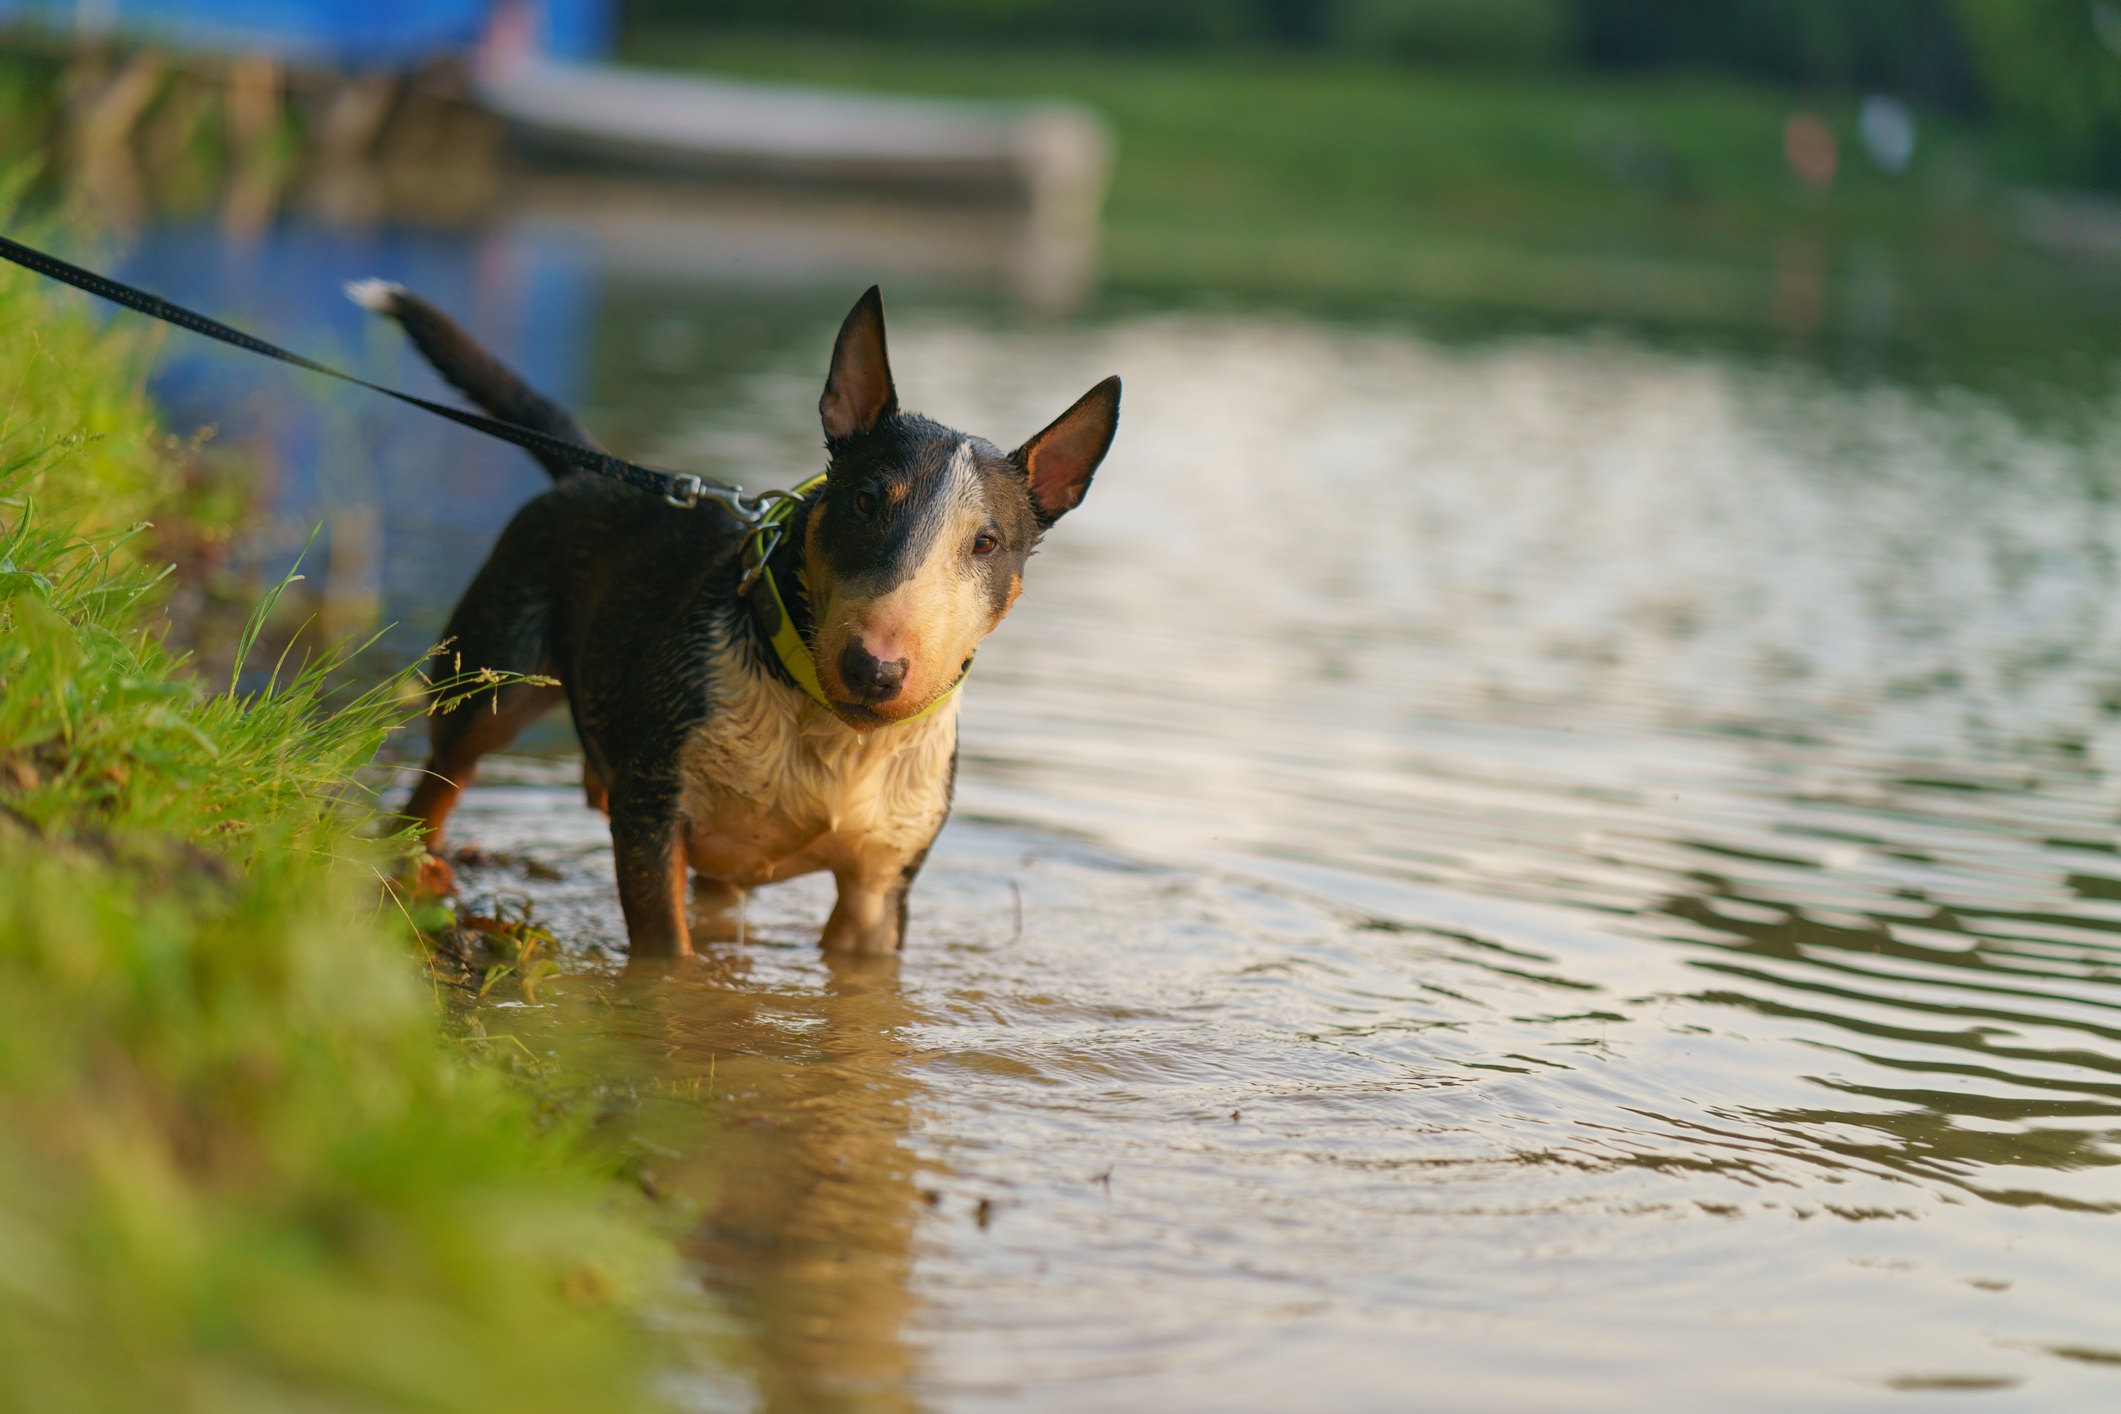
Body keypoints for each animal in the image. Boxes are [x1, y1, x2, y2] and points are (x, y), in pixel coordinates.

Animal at [352, 279, 1111, 958]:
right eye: (866, 500)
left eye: (985, 544)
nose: (874, 670)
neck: (832, 734)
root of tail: (587, 471)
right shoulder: (651, 814)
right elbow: (668, 962)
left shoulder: (878, 890)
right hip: (492, 675)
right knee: (441, 778)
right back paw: (417, 870)